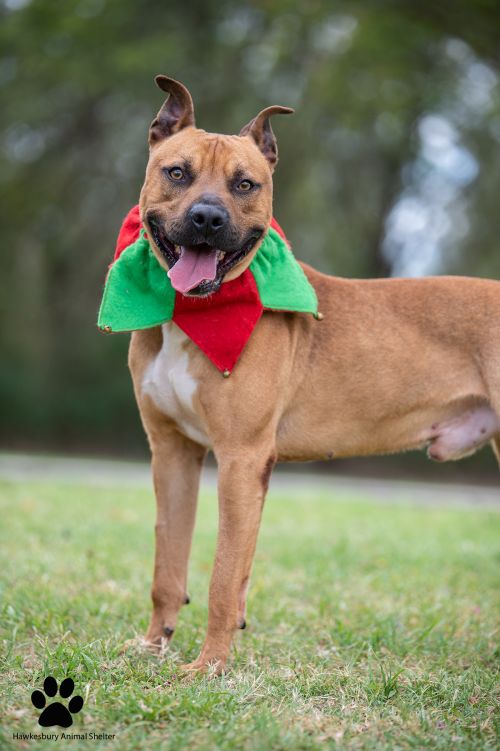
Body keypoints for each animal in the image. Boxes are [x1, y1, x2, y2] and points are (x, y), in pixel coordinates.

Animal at [127, 76, 500, 676]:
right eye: (177, 172)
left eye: (245, 183)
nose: (207, 218)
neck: (199, 314)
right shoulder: (172, 453)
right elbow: (170, 563)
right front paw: (150, 647)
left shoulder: (241, 459)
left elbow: (222, 577)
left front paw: (207, 668)